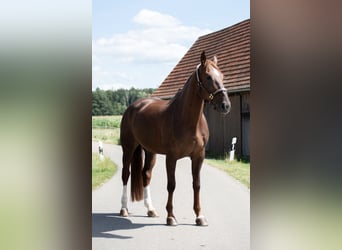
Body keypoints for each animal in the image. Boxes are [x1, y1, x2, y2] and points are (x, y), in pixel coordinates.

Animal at [119, 51, 230, 227]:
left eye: (222, 76)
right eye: (208, 77)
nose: (225, 105)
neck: (188, 120)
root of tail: (134, 106)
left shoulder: (199, 156)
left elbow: (196, 185)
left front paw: (199, 216)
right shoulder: (171, 157)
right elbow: (171, 185)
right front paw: (171, 216)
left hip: (150, 151)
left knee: (146, 174)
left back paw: (151, 209)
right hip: (128, 147)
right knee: (125, 174)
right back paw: (123, 209)